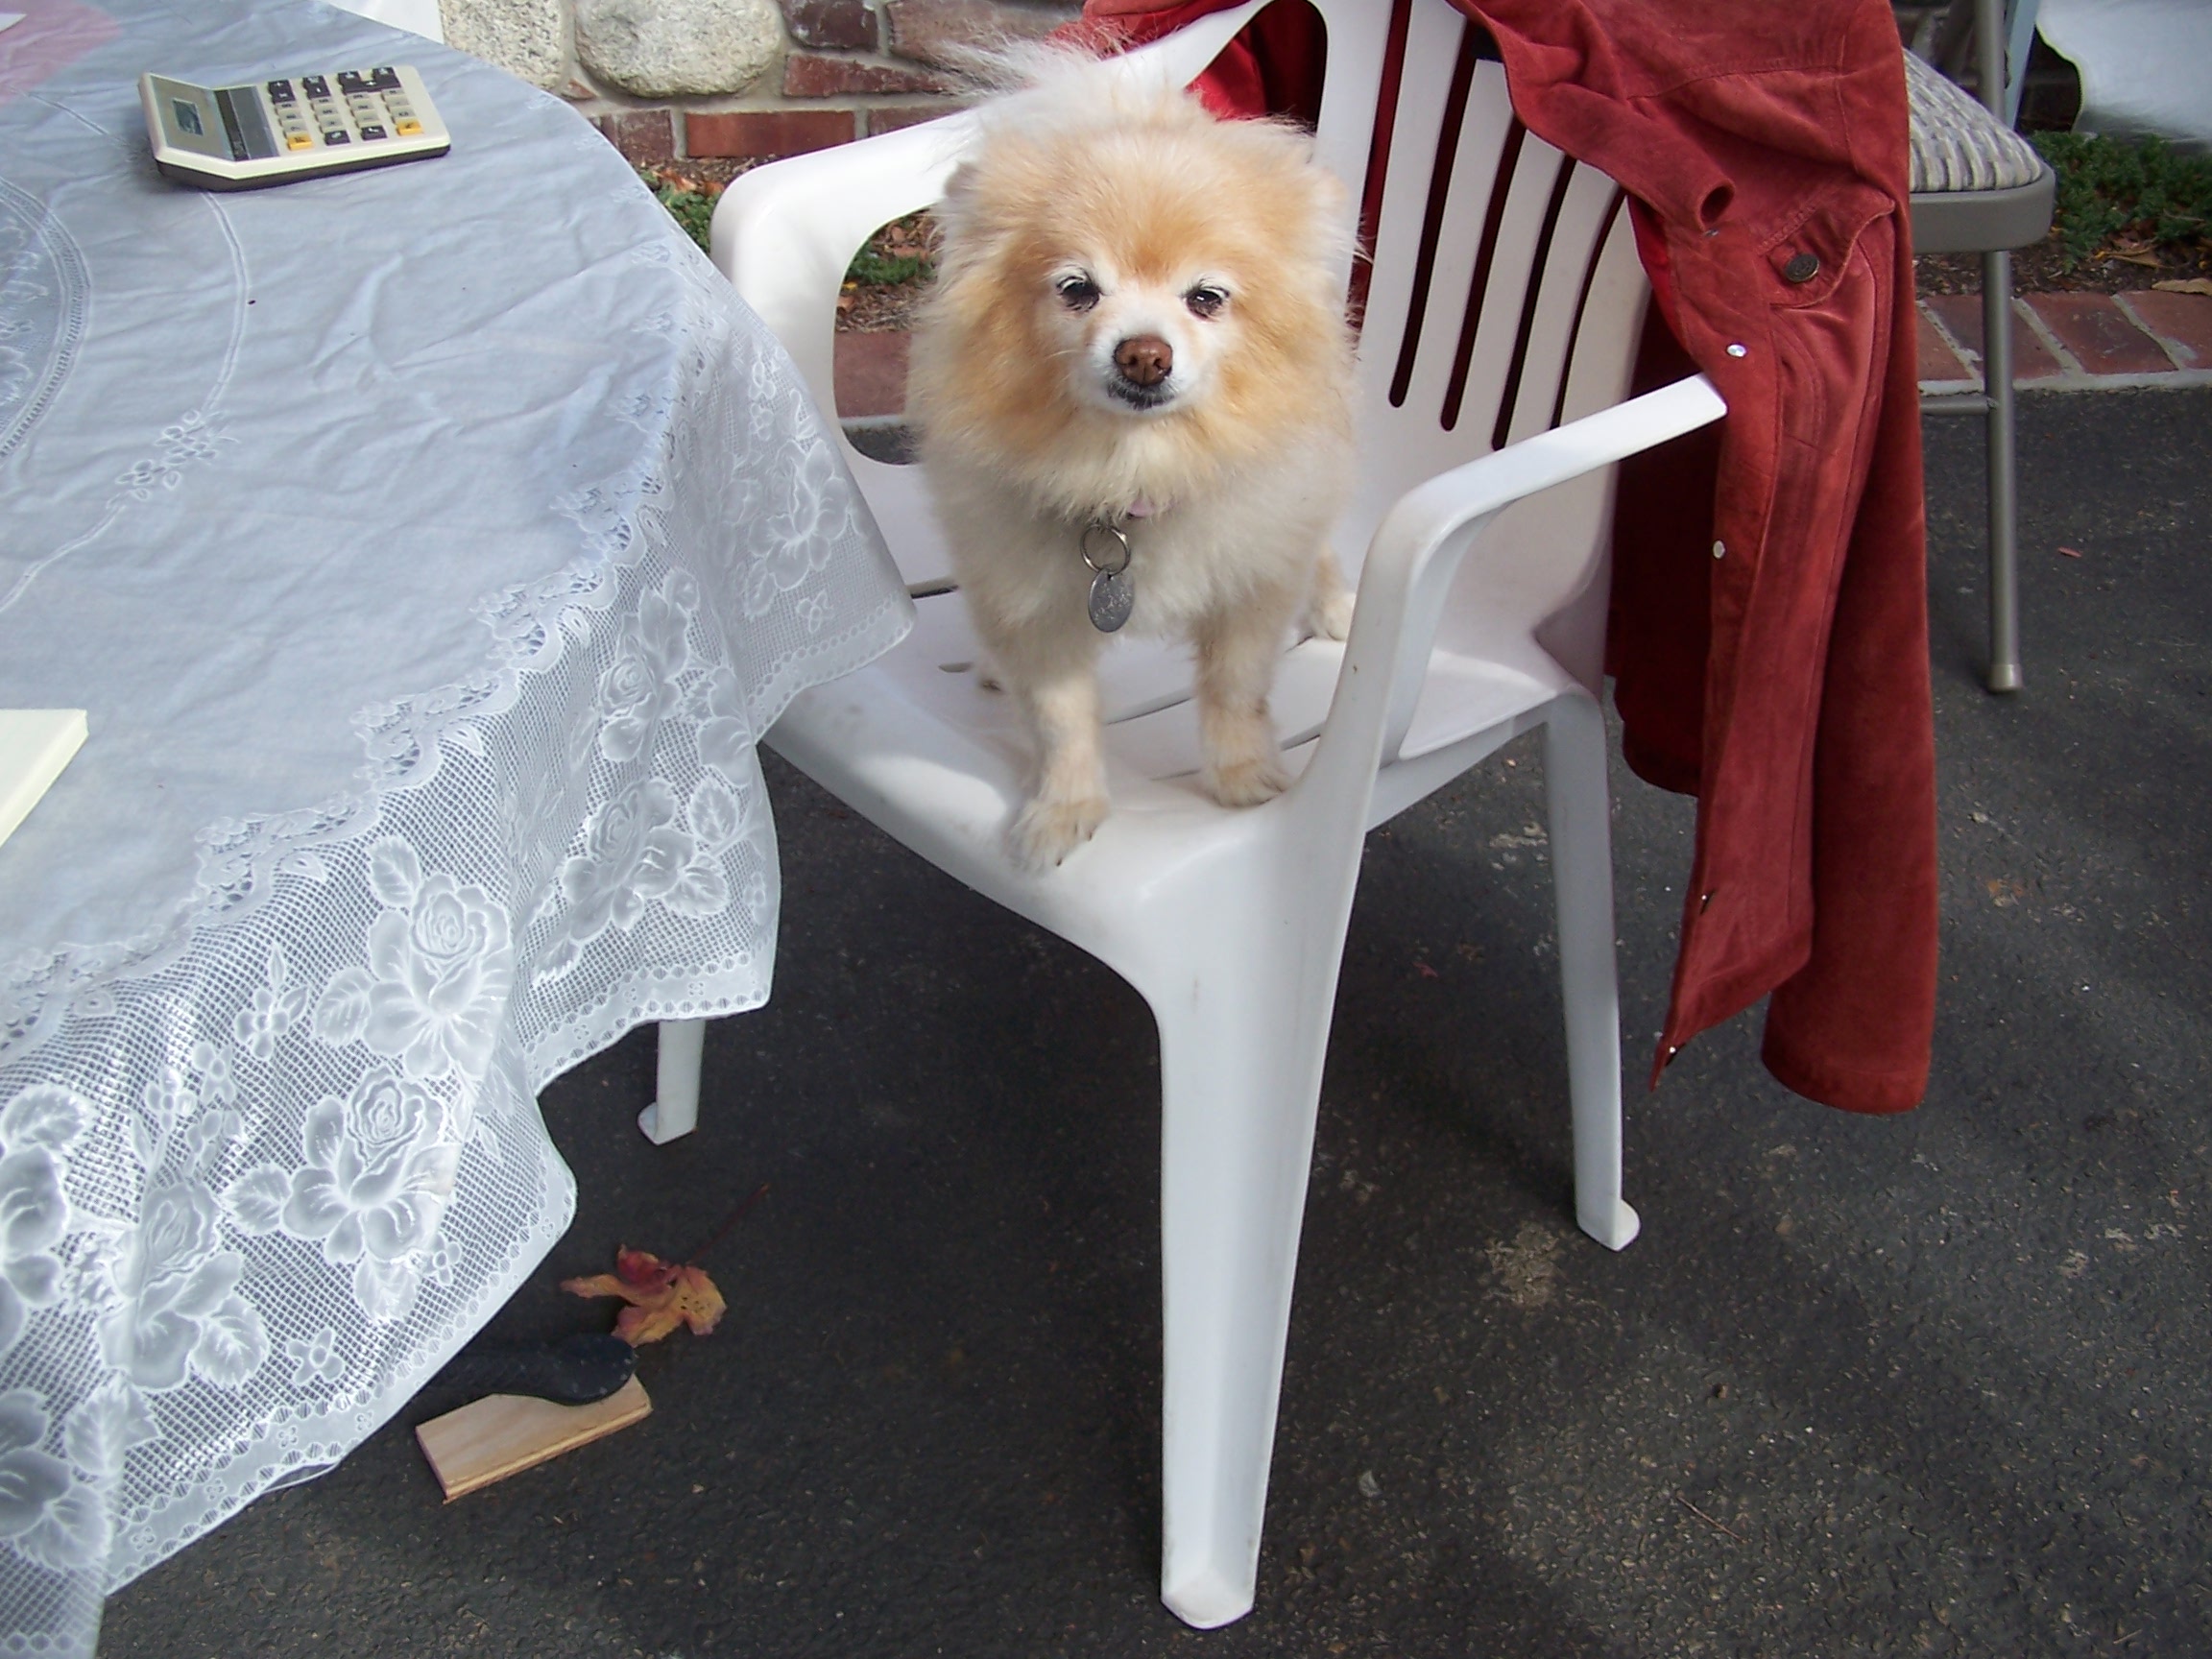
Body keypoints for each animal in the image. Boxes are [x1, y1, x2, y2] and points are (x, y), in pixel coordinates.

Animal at [907, 52, 1359, 870]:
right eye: (1078, 289)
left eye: (1206, 297)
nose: (1144, 354)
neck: (1134, 470)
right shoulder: (1034, 609)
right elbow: (1060, 721)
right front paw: (1064, 810)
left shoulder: (1250, 584)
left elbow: (1237, 690)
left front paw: (1245, 777)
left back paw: (1337, 604)